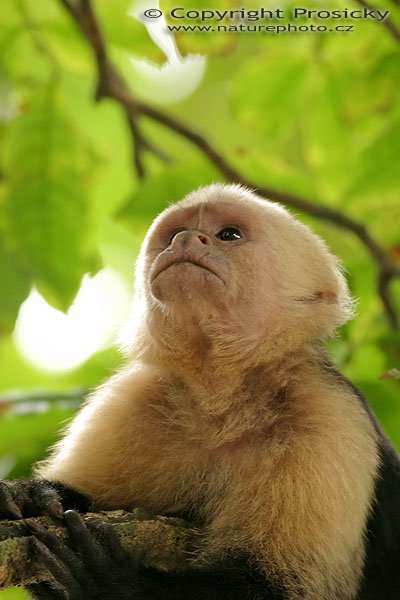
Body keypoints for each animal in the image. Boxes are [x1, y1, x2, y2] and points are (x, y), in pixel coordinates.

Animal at [0, 184, 400, 600]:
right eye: (174, 233)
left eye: (229, 234)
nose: (186, 239)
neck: (222, 403)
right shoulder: (132, 402)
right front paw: (34, 495)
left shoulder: (327, 412)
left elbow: (283, 586)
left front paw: (114, 581)